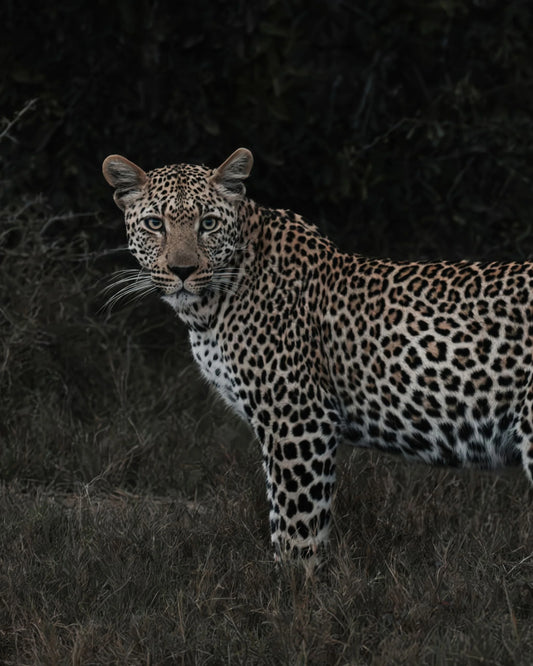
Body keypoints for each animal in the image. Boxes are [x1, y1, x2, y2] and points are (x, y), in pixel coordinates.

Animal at [102, 147, 533, 560]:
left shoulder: (298, 419)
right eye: (155, 224)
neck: (211, 306)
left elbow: (296, 528)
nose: (183, 270)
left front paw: (294, 584)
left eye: (207, 223)